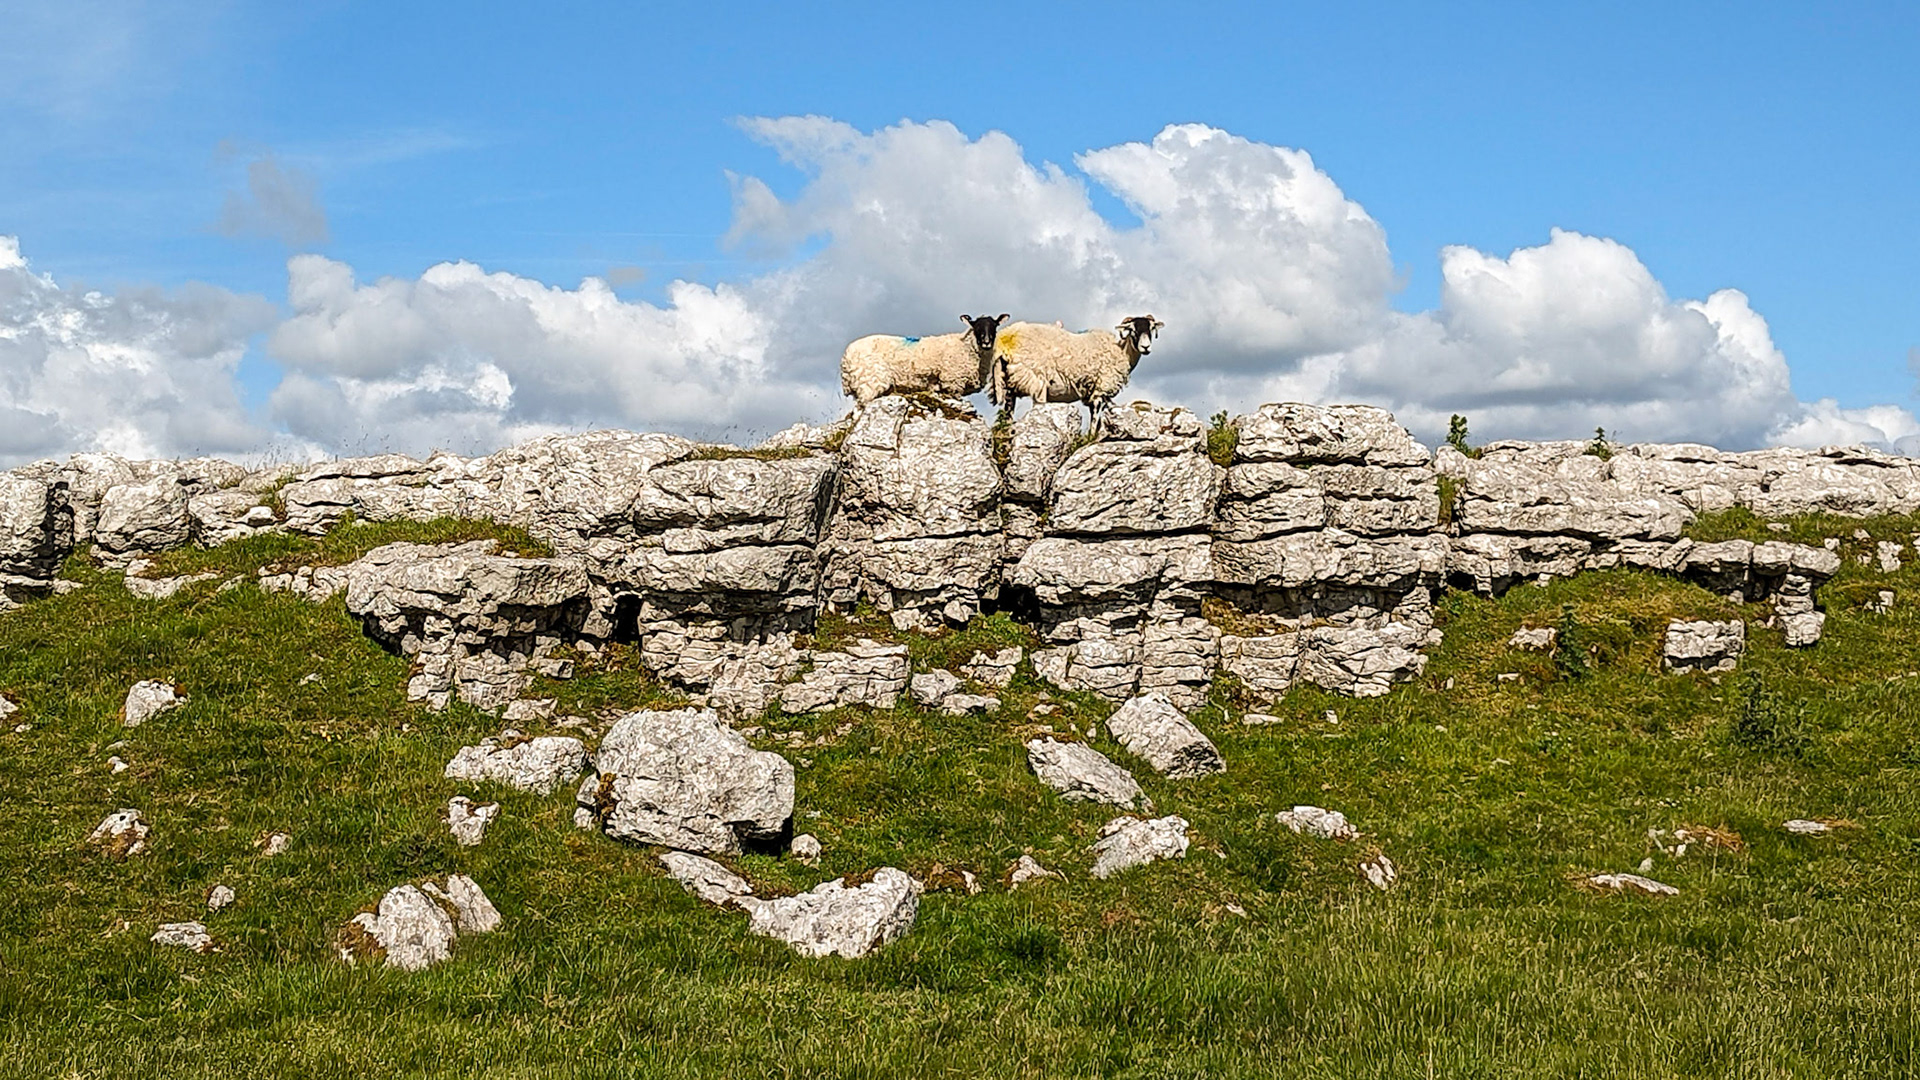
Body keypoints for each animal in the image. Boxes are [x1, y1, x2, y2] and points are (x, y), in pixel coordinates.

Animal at [839, 314, 1007, 408]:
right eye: (977, 327)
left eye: (994, 326)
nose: (986, 342)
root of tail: (846, 357)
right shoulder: (953, 383)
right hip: (869, 382)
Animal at [993, 315, 1163, 429]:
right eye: (1132, 330)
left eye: (1151, 329)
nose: (1146, 347)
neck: (1121, 351)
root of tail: (1006, 338)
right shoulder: (1100, 390)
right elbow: (1095, 421)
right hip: (1036, 381)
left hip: (1009, 385)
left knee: (1007, 416)